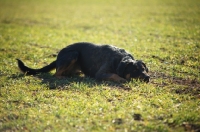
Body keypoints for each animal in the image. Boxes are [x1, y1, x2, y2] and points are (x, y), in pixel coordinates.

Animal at [16, 42, 148, 82]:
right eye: (134, 70)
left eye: (144, 69)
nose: (148, 77)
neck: (121, 59)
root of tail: (58, 57)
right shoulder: (101, 73)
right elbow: (114, 75)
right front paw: (121, 79)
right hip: (73, 54)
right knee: (56, 74)